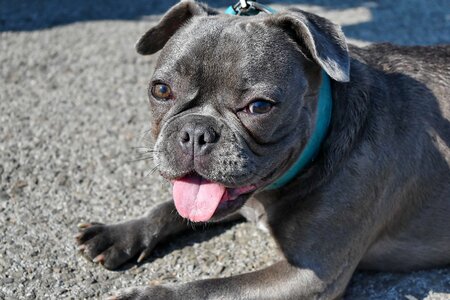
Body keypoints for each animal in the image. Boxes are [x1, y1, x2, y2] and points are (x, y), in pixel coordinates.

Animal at [75, 1, 448, 298]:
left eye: (259, 107)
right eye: (161, 90)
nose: (195, 131)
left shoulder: (310, 275)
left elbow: (209, 289)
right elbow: (168, 208)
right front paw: (119, 233)